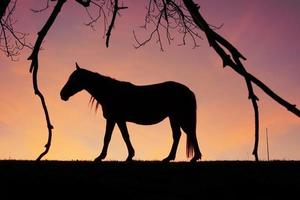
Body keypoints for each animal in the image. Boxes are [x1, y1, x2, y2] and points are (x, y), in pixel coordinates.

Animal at [60, 63, 202, 162]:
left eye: (74, 79)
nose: (62, 94)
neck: (110, 92)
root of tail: (188, 90)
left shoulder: (113, 119)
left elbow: (108, 138)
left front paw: (101, 157)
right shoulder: (119, 120)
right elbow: (125, 136)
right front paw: (129, 156)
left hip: (179, 116)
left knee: (189, 133)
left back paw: (194, 157)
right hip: (174, 117)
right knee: (179, 134)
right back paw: (170, 158)